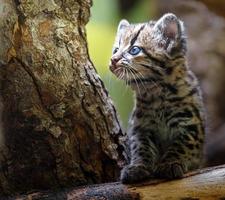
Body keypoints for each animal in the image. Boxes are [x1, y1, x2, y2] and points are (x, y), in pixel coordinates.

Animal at [109, 13, 206, 184]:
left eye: (134, 50)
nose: (113, 60)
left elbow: (182, 146)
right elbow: (141, 147)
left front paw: (170, 163)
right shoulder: (141, 127)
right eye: (116, 49)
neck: (155, 93)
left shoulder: (191, 125)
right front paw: (138, 167)